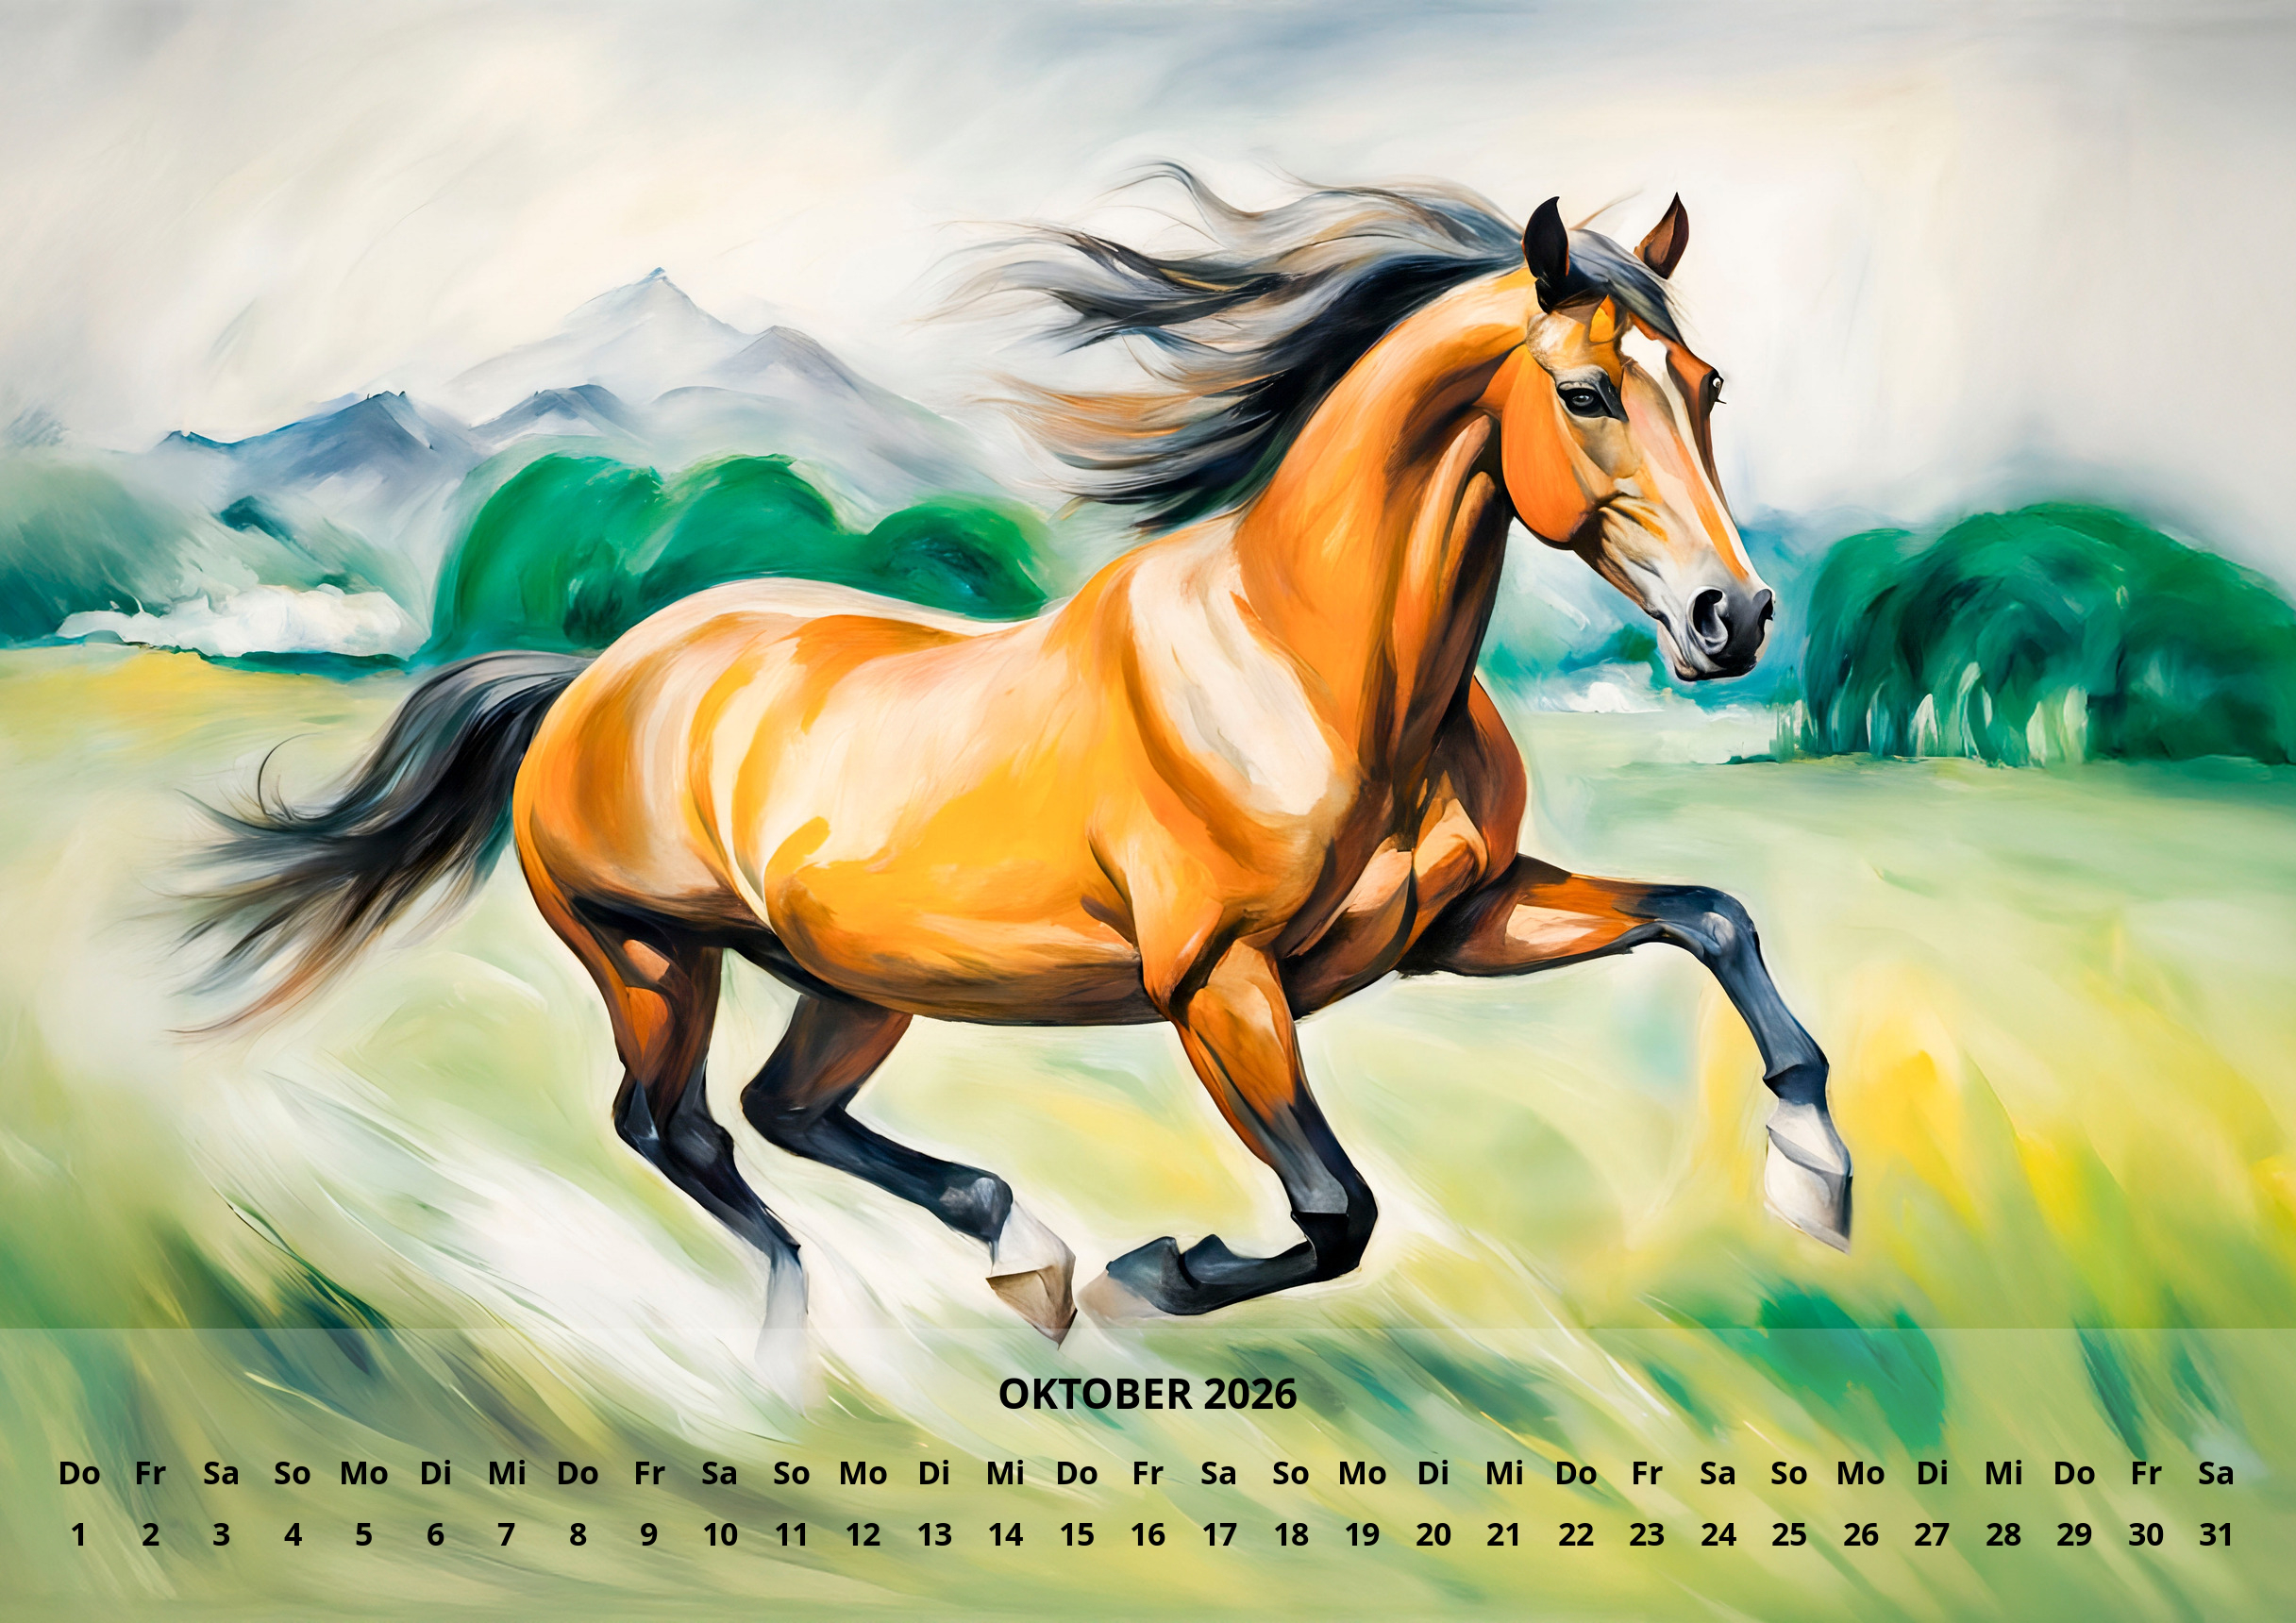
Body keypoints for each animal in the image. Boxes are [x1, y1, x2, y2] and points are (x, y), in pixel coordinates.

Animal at [194, 174, 1850, 1343]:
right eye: (1585, 392)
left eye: (1706, 384)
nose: (1733, 618)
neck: (1316, 671)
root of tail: (590, 677)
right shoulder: (1218, 985)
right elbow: (1335, 1210)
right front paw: (1145, 1277)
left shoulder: (1459, 923)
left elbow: (1712, 917)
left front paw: (1812, 1168)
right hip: (651, 956)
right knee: (676, 1128)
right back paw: (833, 1312)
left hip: (856, 982)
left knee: (784, 1113)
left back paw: (1005, 1252)